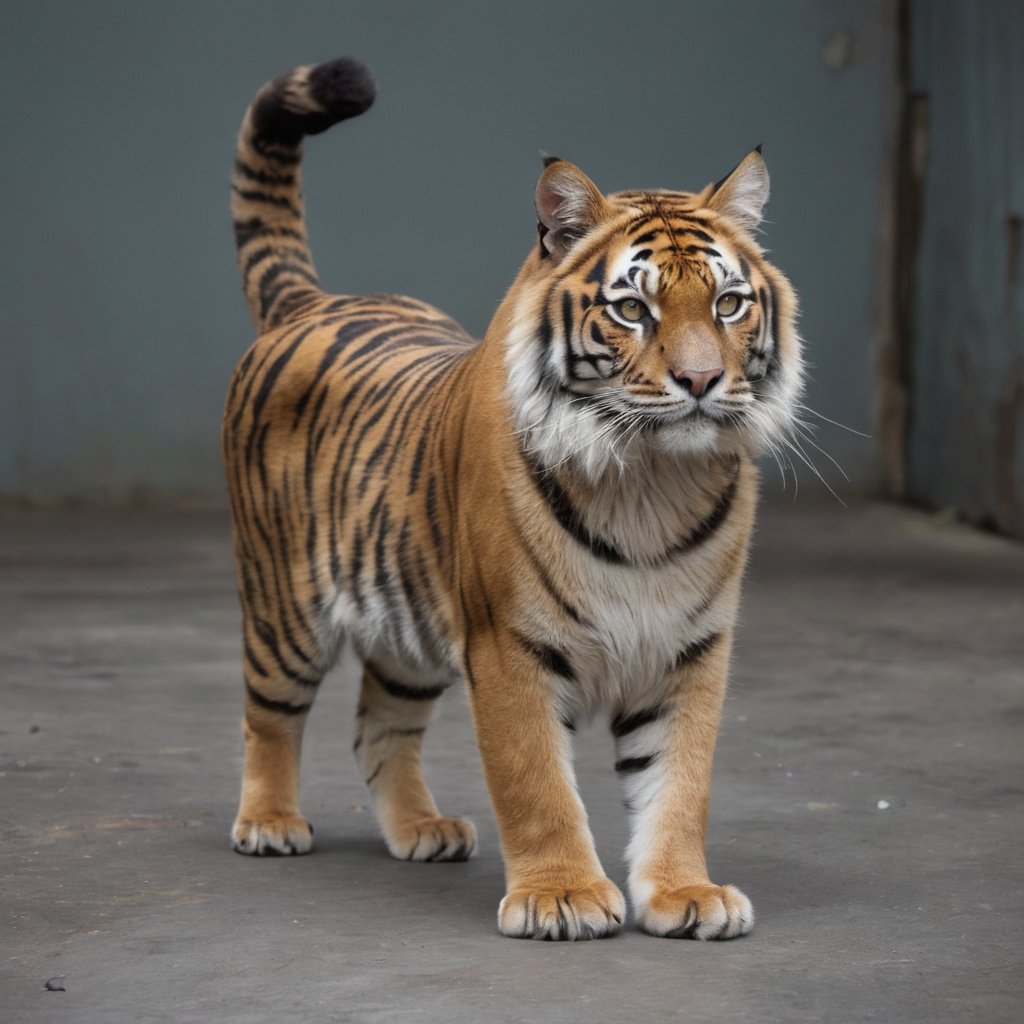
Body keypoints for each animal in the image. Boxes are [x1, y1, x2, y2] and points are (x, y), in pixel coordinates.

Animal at [224, 54, 798, 937]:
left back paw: (422, 829)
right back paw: (269, 821)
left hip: (404, 627)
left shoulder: (691, 650)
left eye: (728, 303)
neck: (652, 479)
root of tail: (315, 303)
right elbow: (535, 782)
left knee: (377, 724)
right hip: (285, 606)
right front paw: (560, 895)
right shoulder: (509, 644)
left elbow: (680, 783)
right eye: (633, 309)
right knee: (268, 711)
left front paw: (683, 893)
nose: (702, 381)